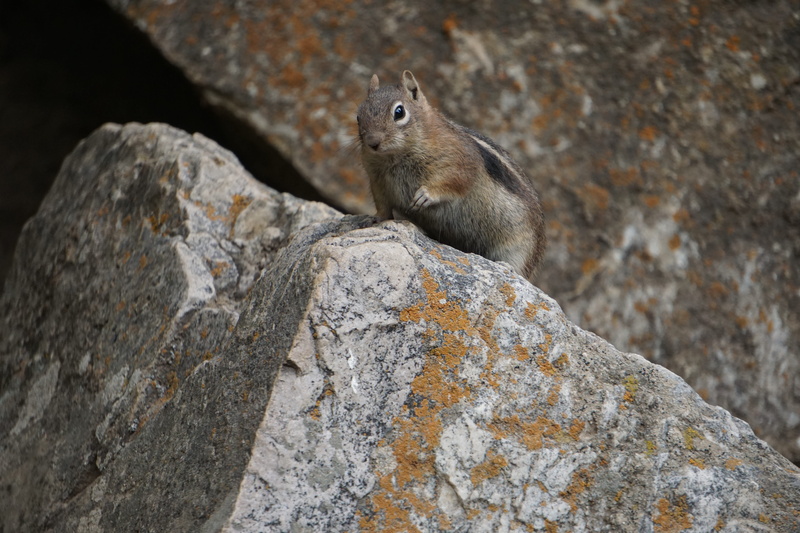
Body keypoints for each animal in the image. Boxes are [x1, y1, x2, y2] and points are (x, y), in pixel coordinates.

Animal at [356, 70, 546, 281]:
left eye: (399, 112)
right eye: (358, 116)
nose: (373, 142)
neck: (395, 156)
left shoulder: (459, 163)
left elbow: (454, 182)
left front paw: (426, 195)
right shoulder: (377, 180)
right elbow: (382, 205)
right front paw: (374, 219)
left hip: (521, 247)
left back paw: (506, 267)